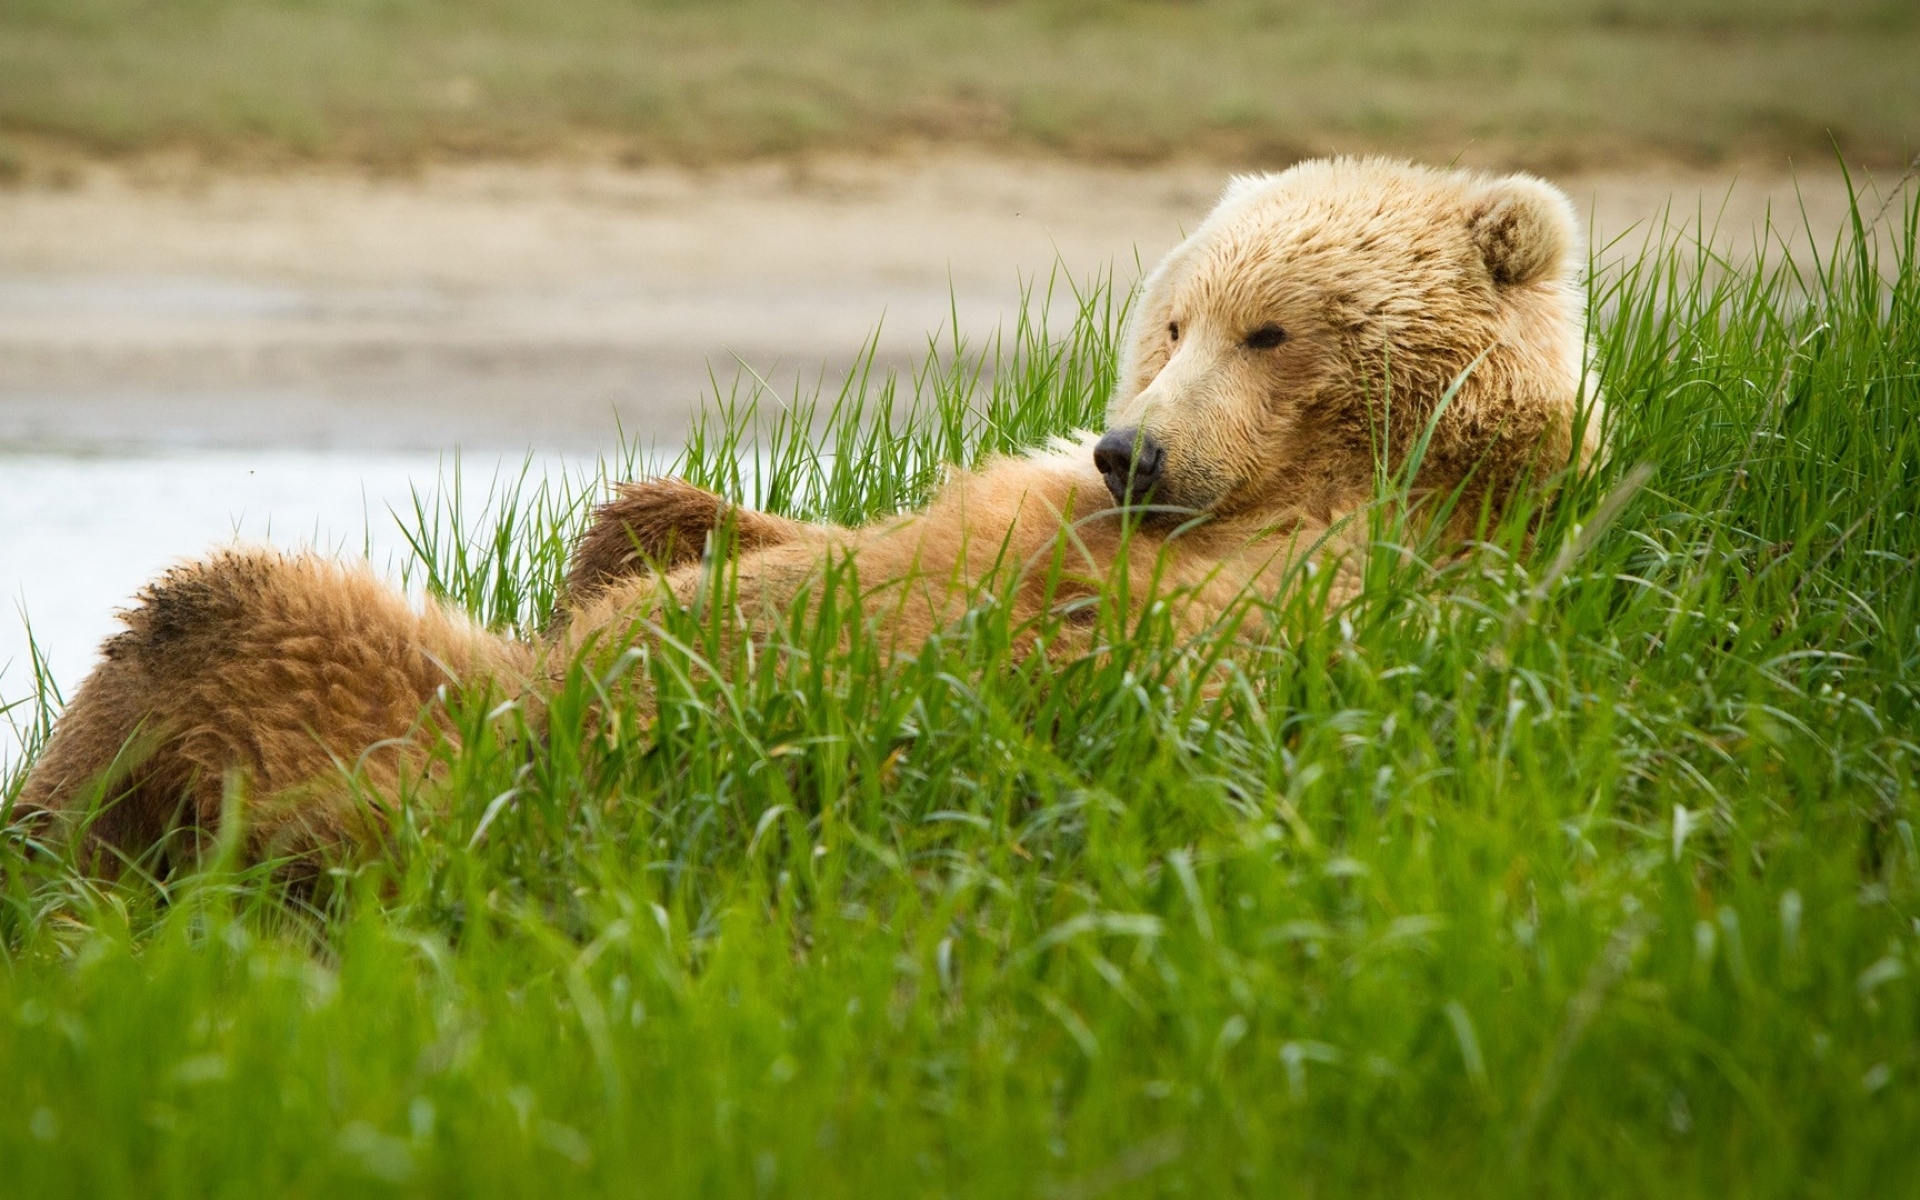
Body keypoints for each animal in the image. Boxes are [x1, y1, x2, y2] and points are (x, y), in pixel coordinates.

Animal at [12, 157, 1598, 873]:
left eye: (1271, 330)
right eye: (1173, 319)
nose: (1129, 452)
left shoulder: (1307, 591)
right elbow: (757, 537)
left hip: (417, 764)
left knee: (217, 611)